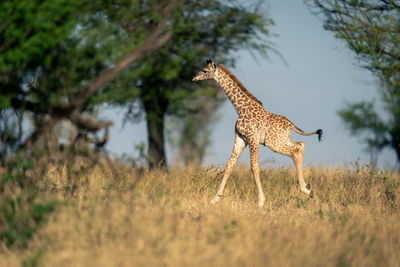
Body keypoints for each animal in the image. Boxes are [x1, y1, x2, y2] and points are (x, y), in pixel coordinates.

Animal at [191, 59, 322, 209]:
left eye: (204, 70)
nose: (194, 77)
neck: (240, 108)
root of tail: (291, 125)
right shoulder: (241, 139)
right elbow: (229, 164)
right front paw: (214, 199)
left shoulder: (252, 138)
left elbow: (254, 166)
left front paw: (261, 201)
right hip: (281, 140)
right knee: (301, 144)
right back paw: (307, 187)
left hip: (273, 143)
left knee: (295, 150)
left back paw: (304, 189)